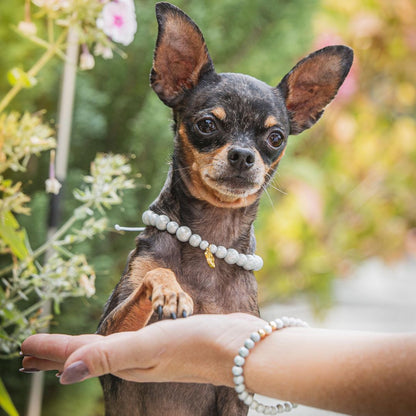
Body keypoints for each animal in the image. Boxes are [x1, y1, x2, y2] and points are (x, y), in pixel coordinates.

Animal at [96, 1, 352, 414]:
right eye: (206, 125)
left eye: (276, 138)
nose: (243, 155)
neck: (210, 240)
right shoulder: (109, 339)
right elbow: (156, 273)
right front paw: (171, 290)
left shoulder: (234, 389)